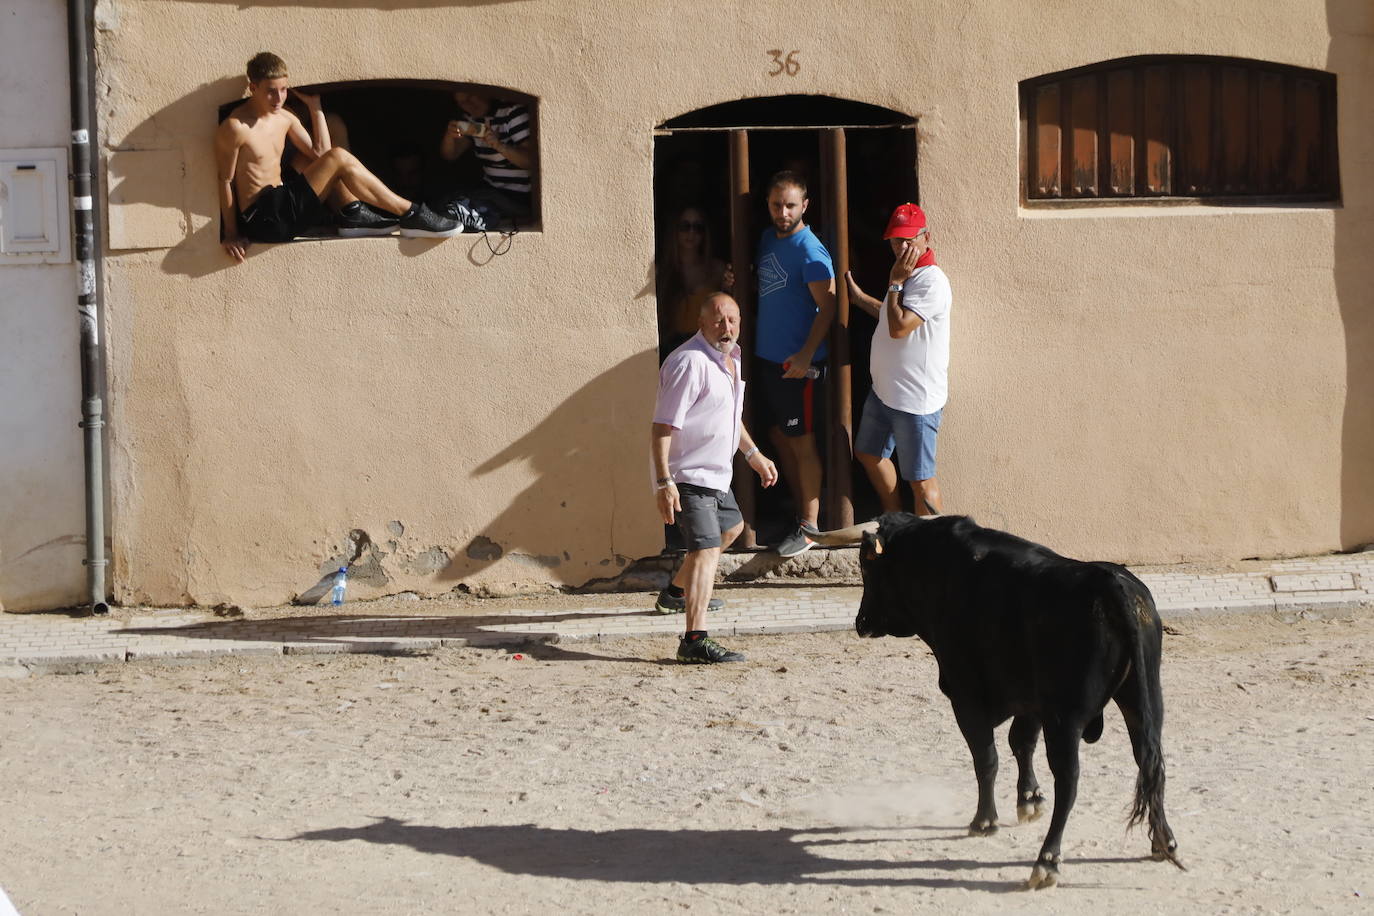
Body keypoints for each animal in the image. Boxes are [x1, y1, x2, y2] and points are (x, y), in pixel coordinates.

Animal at [807, 513, 1187, 884]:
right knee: (1150, 761)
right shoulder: (1031, 702)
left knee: (1069, 779)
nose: (861, 622)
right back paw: (1163, 841)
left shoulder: (966, 696)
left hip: (1066, 719)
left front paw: (984, 821)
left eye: (865, 566)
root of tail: (1113, 586)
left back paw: (1047, 860)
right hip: (1143, 701)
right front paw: (1029, 800)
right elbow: (1021, 743)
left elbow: (986, 758)